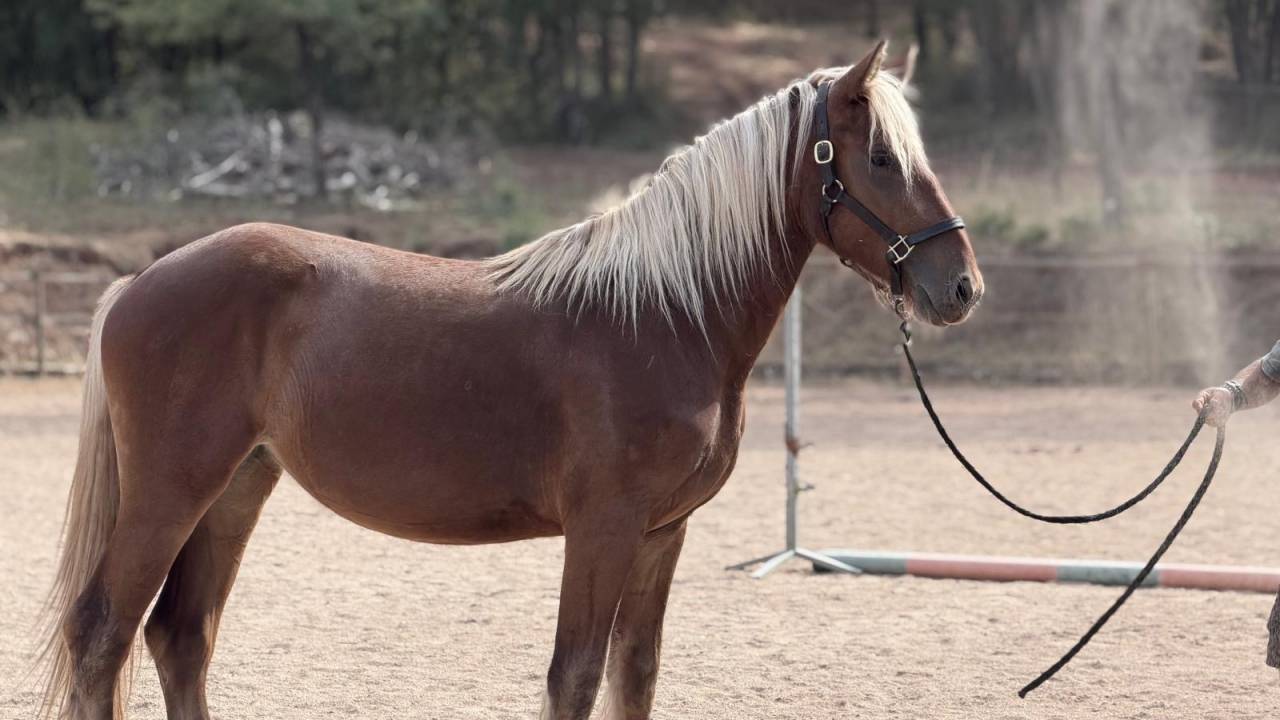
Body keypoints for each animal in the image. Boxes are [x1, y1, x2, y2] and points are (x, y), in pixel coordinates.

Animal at [37, 40, 982, 720]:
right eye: (882, 160)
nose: (962, 287)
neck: (665, 313)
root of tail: (139, 282)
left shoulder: (661, 534)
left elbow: (633, 677)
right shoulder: (603, 529)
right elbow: (575, 676)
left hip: (236, 487)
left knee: (180, 637)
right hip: (171, 491)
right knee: (102, 634)